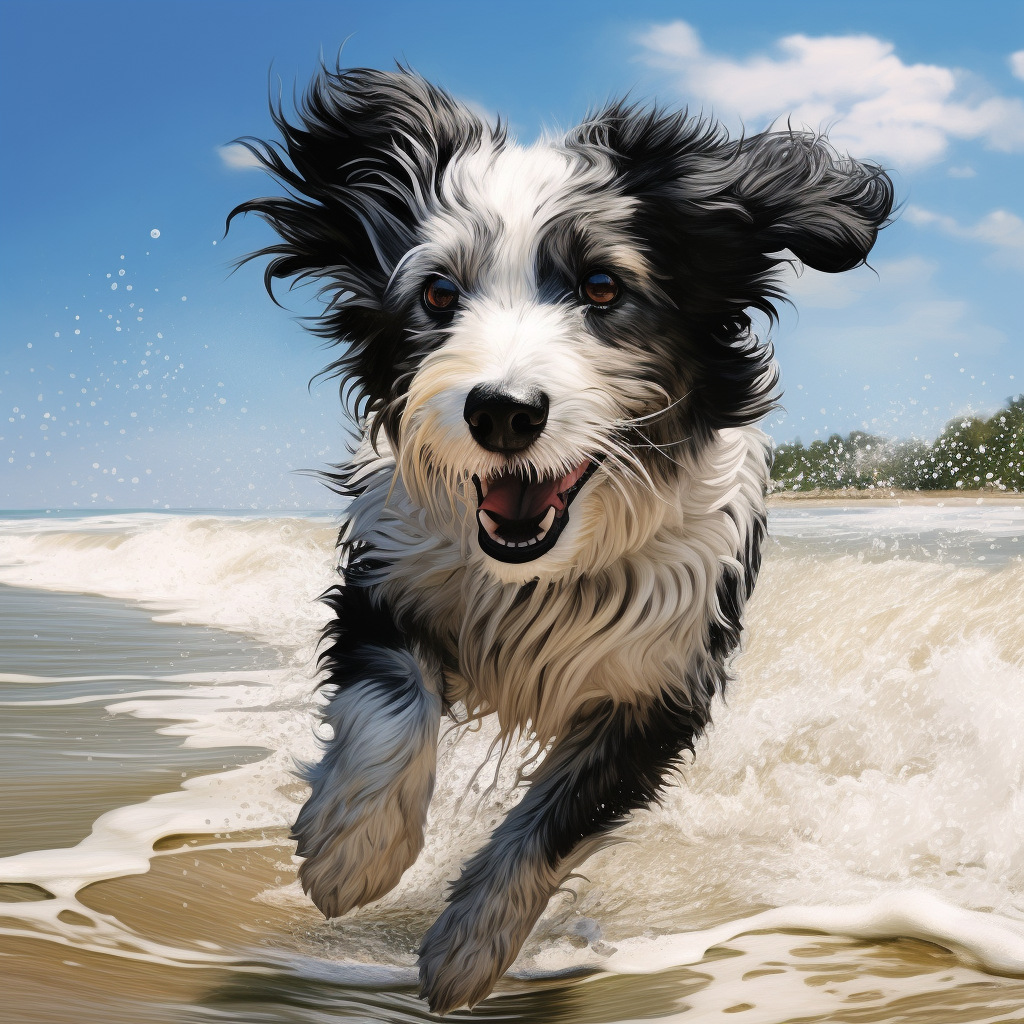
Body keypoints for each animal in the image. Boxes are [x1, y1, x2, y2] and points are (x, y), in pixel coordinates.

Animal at [228, 68, 892, 1011]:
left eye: (603, 286)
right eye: (439, 294)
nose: (502, 410)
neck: (539, 574)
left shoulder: (659, 684)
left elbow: (559, 821)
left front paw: (470, 945)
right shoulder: (388, 572)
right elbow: (392, 703)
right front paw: (354, 853)